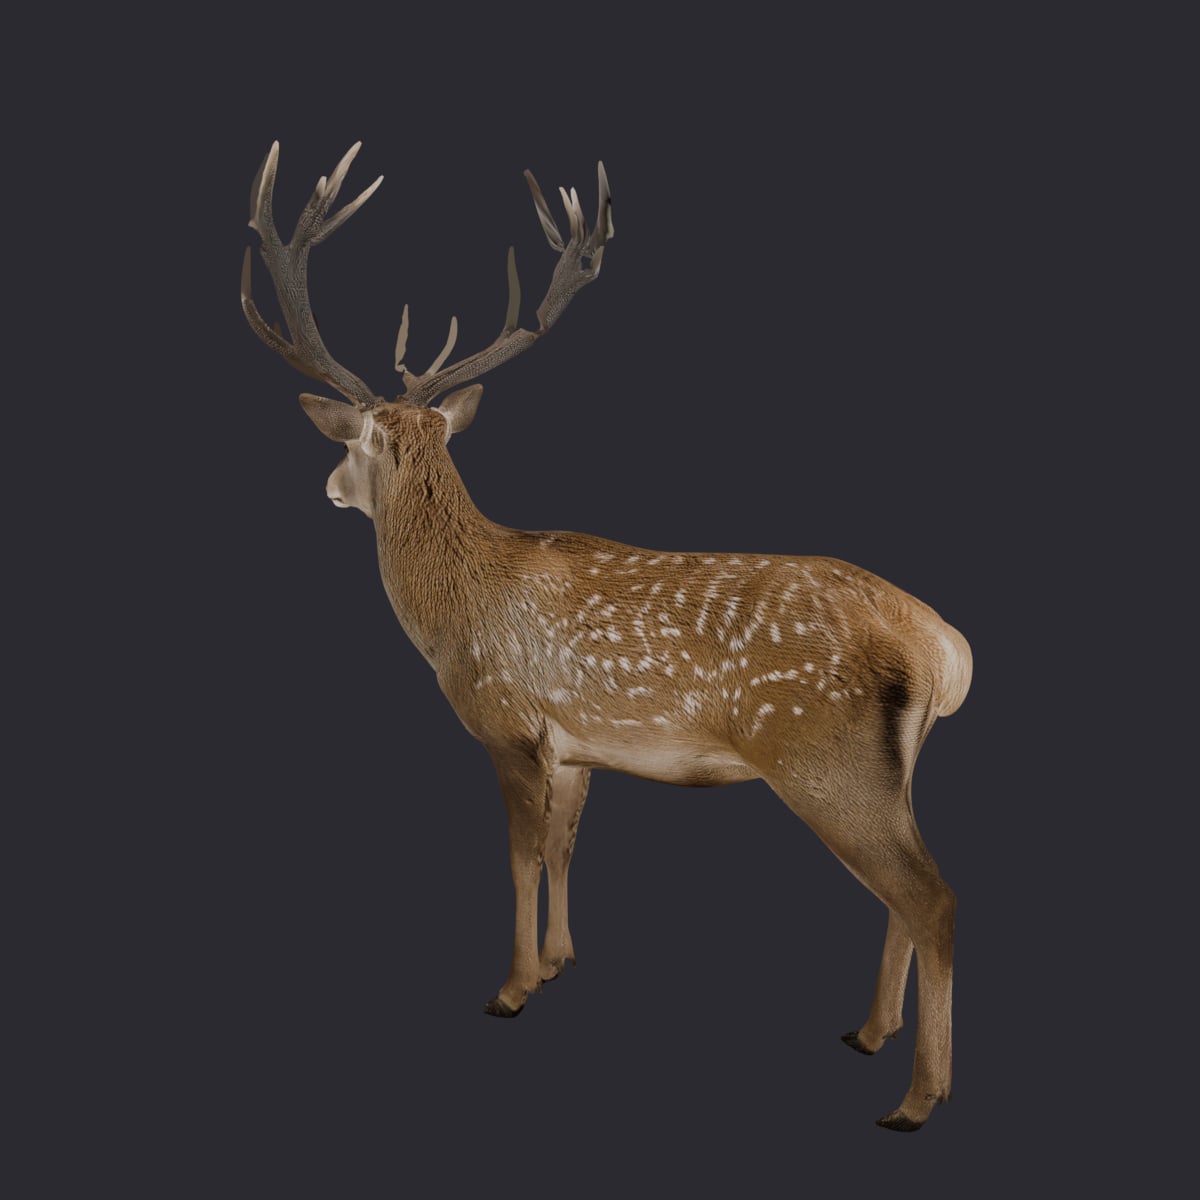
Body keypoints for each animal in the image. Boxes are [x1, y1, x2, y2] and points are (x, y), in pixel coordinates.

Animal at [240, 141, 972, 1132]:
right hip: (892, 766)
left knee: (929, 897)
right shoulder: (578, 745)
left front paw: (510, 988)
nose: (327, 489)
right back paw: (868, 1033)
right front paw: (559, 962)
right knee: (904, 894)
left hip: (824, 756)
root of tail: (941, 648)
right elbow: (562, 845)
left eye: (349, 445)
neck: (451, 614)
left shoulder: (507, 724)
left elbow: (517, 854)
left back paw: (917, 1097)